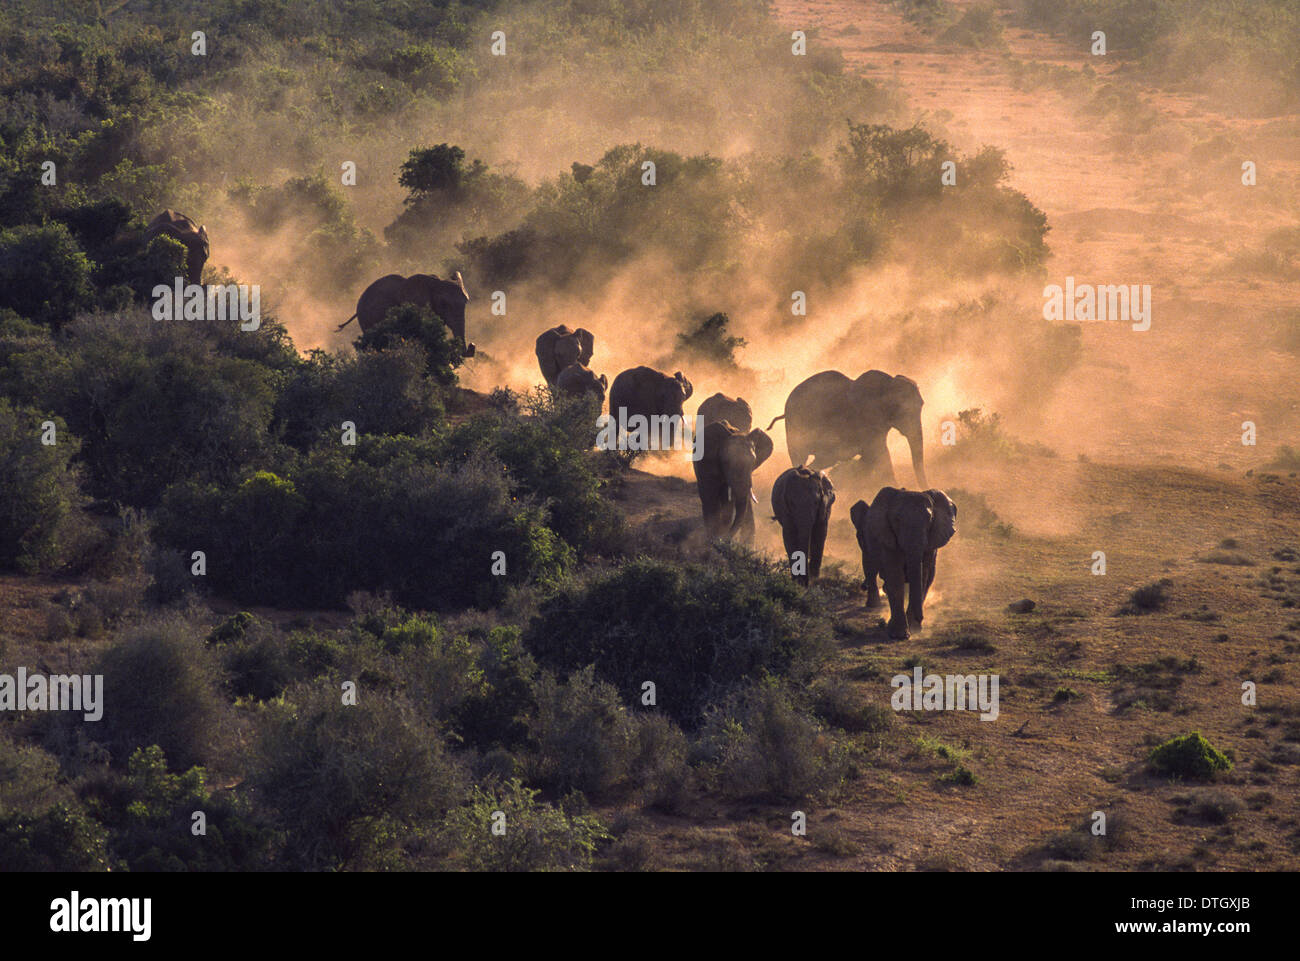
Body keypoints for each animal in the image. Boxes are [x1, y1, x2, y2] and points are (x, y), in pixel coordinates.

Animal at [691, 418, 769, 546]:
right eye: (726, 462)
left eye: (753, 462)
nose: (726, 540)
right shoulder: (707, 461)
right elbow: (712, 496)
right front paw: (713, 540)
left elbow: (729, 501)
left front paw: (718, 539)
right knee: (707, 496)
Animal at [769, 369, 925, 488]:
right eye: (903, 411)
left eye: (921, 405)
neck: (887, 383)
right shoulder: (865, 421)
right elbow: (880, 455)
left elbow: (873, 457)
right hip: (795, 428)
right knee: (800, 457)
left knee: (822, 460)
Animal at [847, 488, 961, 639]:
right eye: (897, 520)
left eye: (930, 520)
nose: (921, 619)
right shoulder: (886, 537)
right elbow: (895, 575)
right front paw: (899, 635)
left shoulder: (931, 543)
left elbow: (923, 575)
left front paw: (913, 629)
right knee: (871, 566)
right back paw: (874, 605)